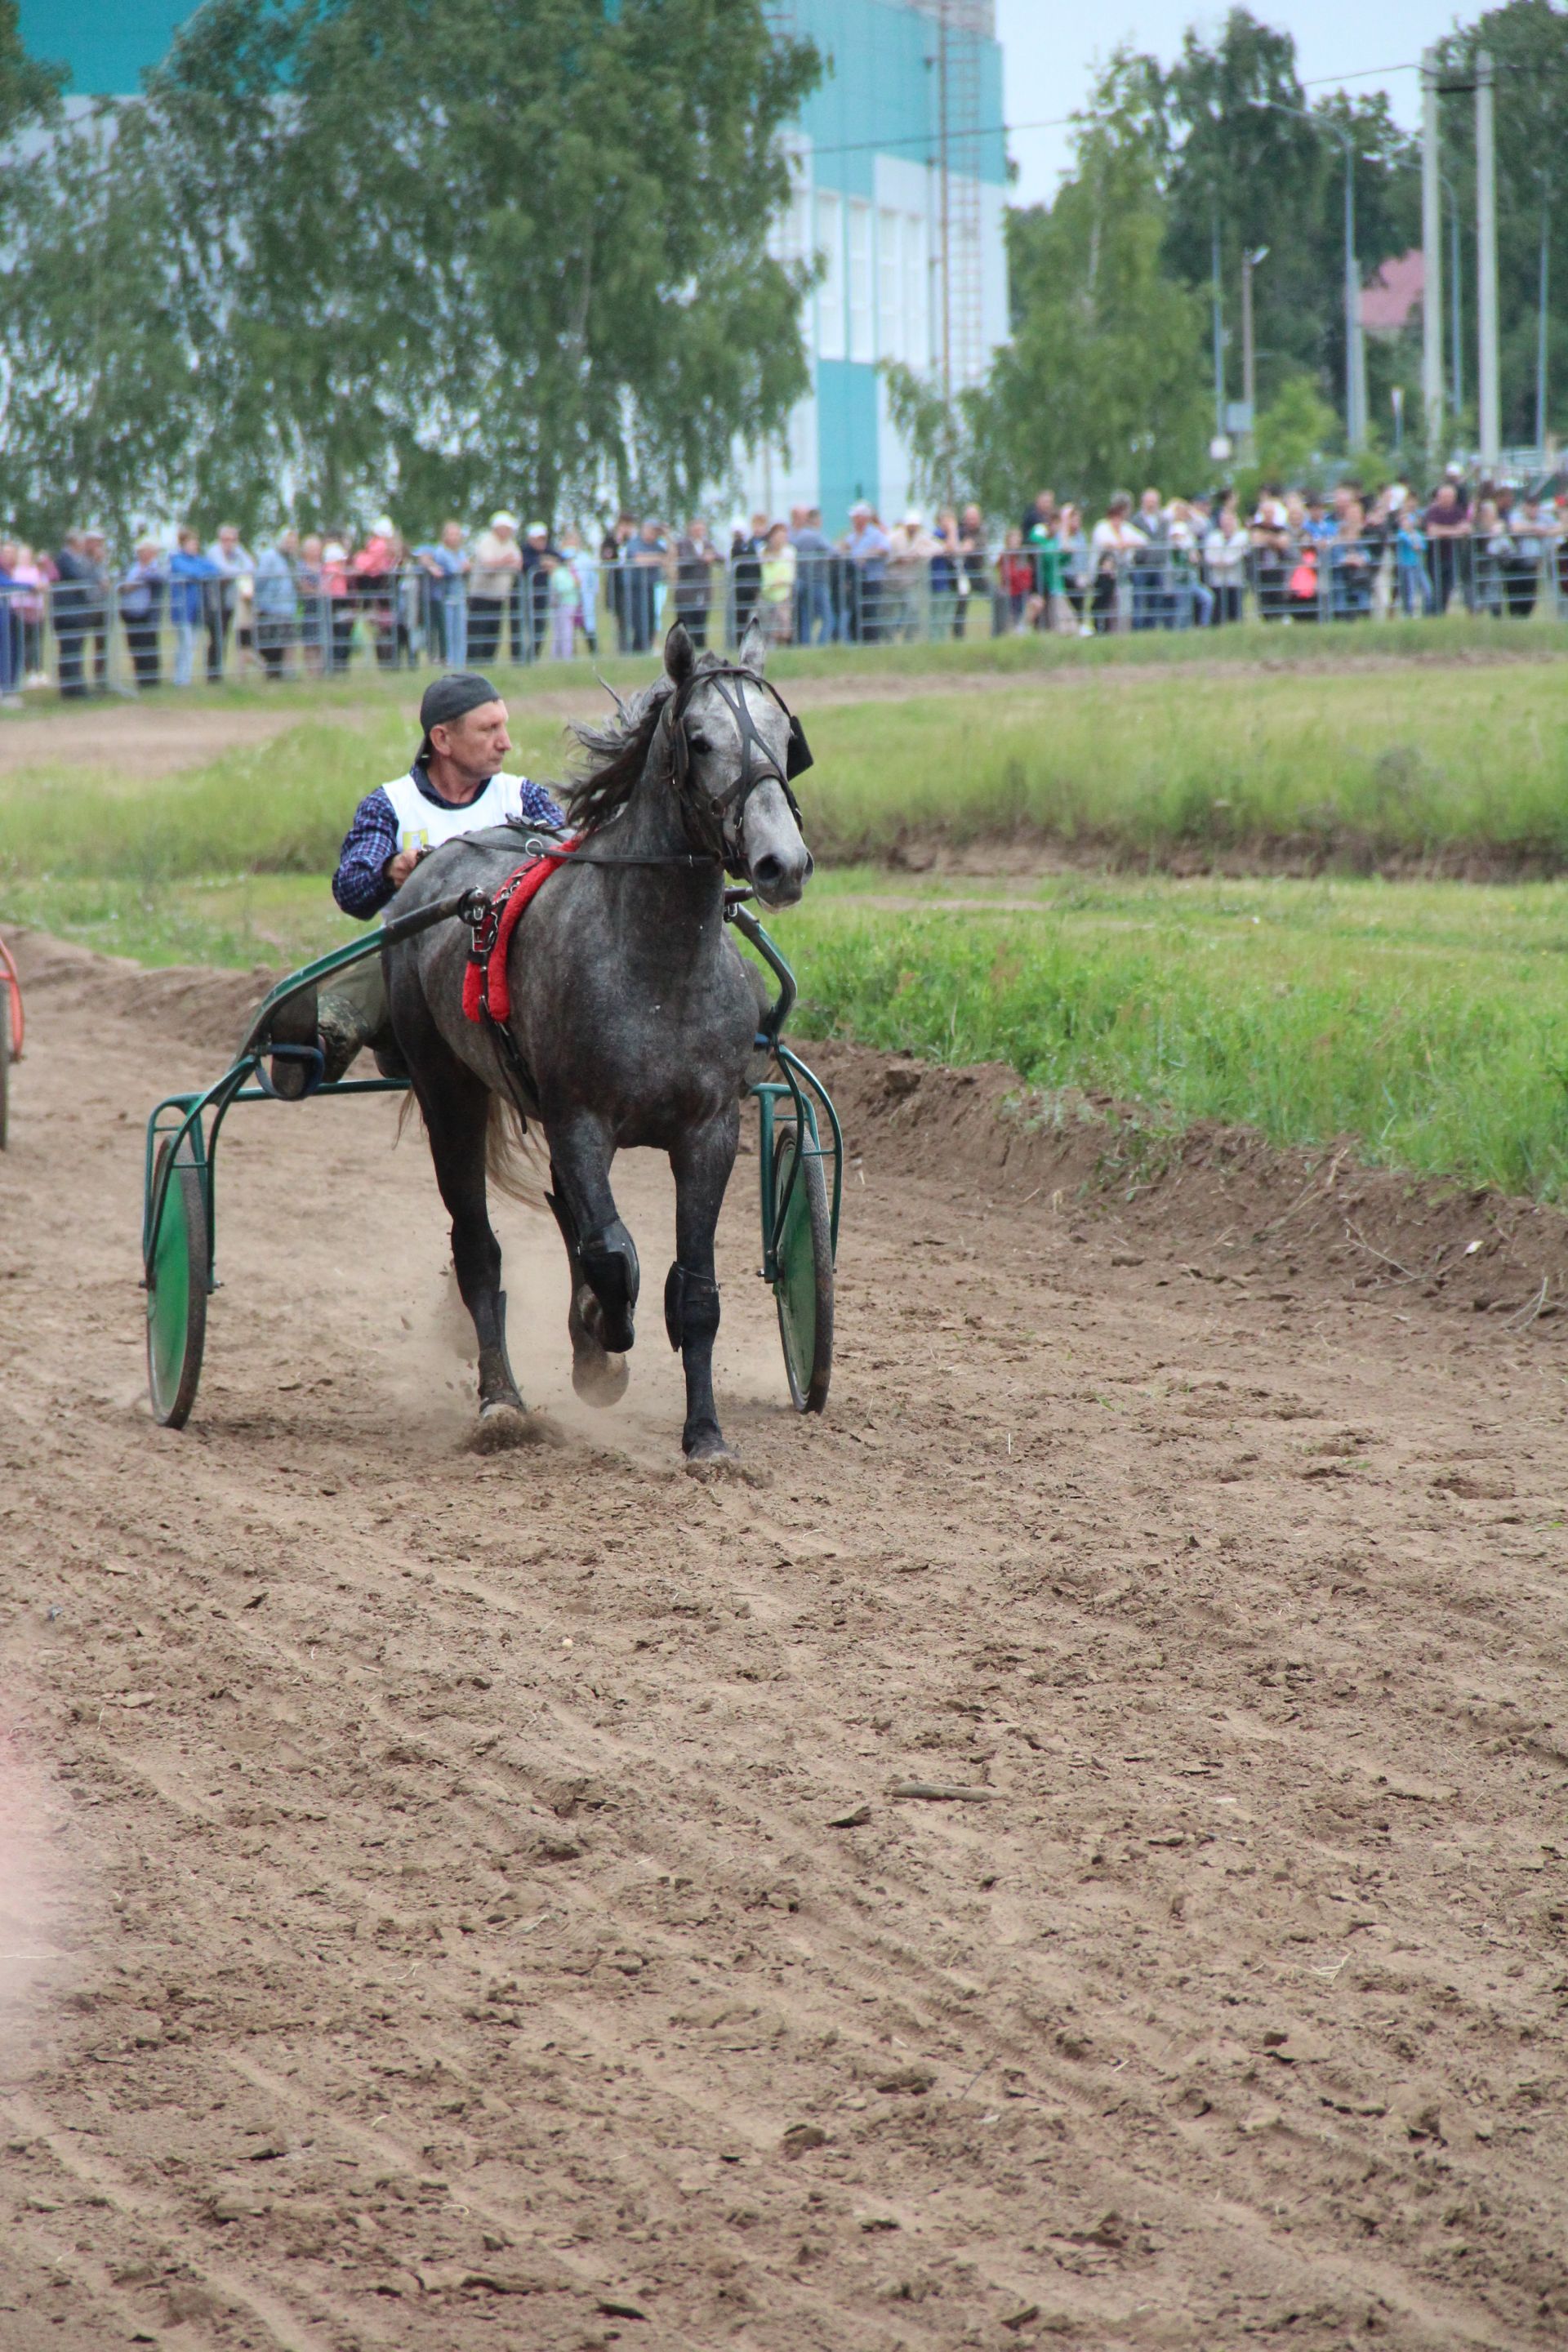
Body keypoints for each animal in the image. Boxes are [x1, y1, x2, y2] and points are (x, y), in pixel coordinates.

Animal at [385, 626, 817, 1468]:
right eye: (699, 739)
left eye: (786, 739)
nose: (782, 864)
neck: (657, 966)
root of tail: (441, 860)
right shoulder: (580, 1121)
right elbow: (615, 1257)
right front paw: (601, 1334)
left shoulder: (710, 1130)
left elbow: (692, 1288)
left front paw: (706, 1438)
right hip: (447, 1087)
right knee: (480, 1247)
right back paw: (502, 1400)